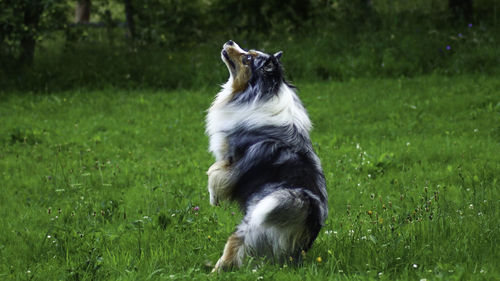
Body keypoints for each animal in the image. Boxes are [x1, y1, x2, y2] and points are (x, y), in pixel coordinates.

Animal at [206, 40, 328, 270]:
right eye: (249, 52)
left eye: (248, 59)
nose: (229, 42)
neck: (263, 92)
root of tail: (308, 207)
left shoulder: (231, 160)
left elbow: (214, 174)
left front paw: (214, 199)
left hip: (250, 227)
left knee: (233, 248)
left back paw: (214, 270)